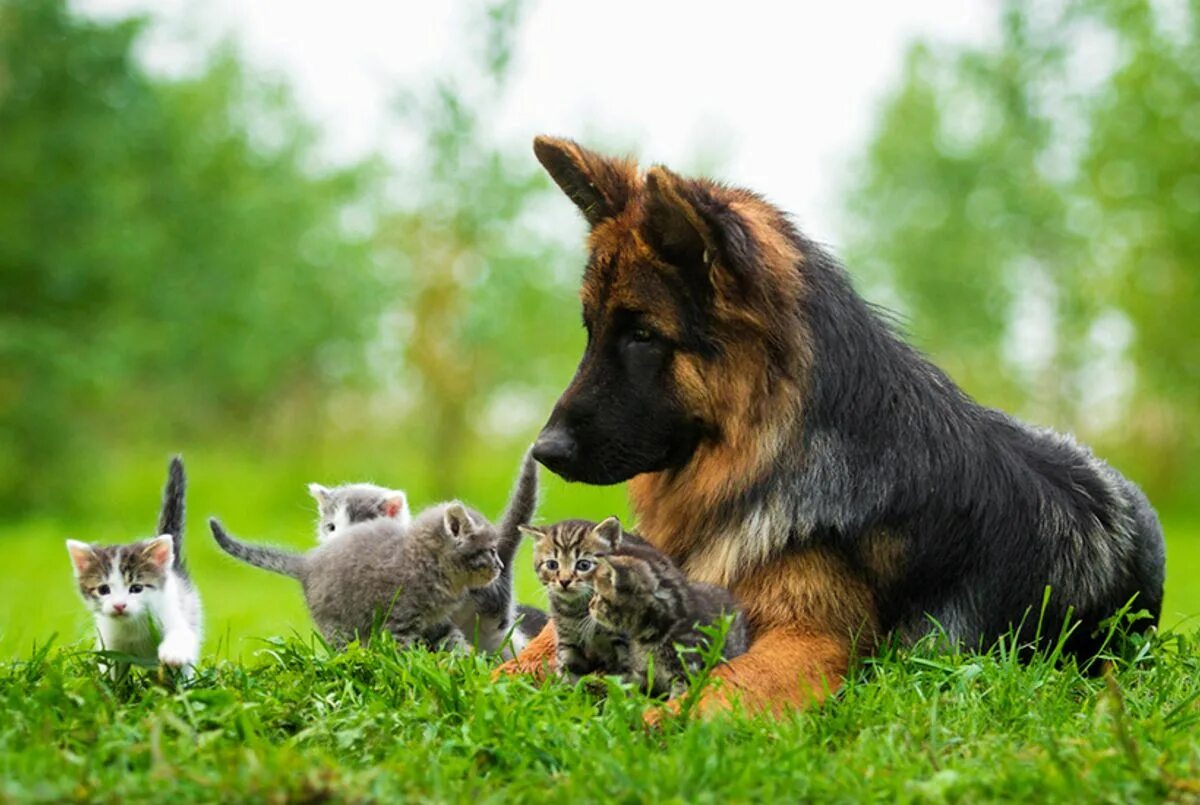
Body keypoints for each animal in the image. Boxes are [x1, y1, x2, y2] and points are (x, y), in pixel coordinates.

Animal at [65, 455, 201, 676]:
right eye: (103, 589)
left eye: (136, 588)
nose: (119, 605)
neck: (133, 624)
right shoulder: (109, 643)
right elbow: (110, 670)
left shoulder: (175, 617)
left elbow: (181, 636)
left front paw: (173, 654)